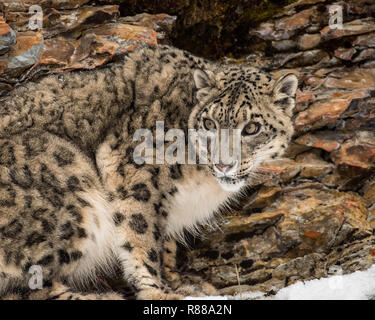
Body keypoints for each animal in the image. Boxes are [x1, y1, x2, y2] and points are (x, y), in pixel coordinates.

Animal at [0, 45, 298, 300]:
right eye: (209, 122)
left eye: (251, 128)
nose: (223, 164)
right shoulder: (133, 168)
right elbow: (141, 233)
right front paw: (158, 291)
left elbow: (164, 242)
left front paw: (179, 282)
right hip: (69, 179)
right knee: (27, 286)